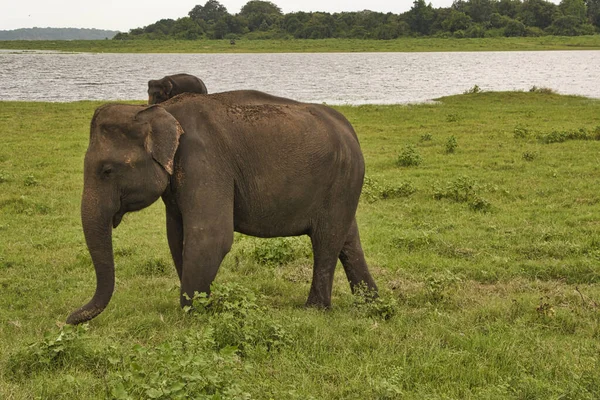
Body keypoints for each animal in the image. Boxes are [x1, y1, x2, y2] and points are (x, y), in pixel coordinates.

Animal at [68, 89, 378, 324]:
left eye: (107, 171)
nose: (69, 319)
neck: (159, 110)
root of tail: (350, 130)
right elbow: (177, 237)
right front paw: (203, 303)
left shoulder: (203, 161)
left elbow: (211, 236)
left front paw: (192, 313)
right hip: (343, 184)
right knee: (348, 240)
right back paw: (371, 304)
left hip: (342, 180)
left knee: (326, 240)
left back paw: (314, 309)